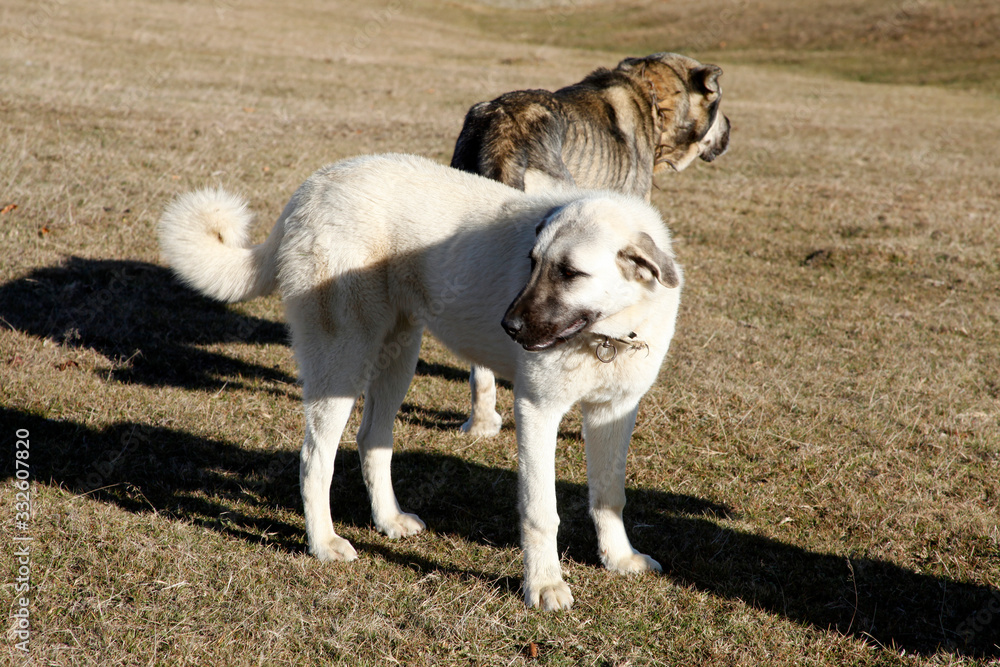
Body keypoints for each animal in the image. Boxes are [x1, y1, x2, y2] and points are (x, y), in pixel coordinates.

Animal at [158, 153, 682, 610]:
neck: (607, 334)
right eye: (531, 262)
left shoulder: (613, 413)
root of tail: (313, 185)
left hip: (398, 358)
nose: (508, 327)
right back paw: (323, 542)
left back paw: (387, 520)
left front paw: (618, 558)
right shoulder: (536, 410)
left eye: (570, 272)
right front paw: (544, 584)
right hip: (342, 364)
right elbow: (541, 510)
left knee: (371, 440)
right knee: (314, 459)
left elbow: (610, 495)